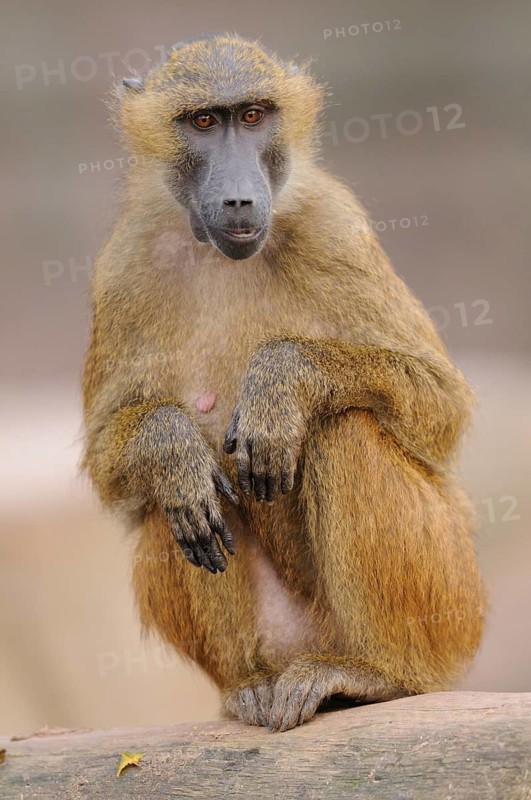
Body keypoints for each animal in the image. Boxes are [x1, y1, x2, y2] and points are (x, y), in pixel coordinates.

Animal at [82, 33, 486, 733]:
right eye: (203, 121)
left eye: (252, 116)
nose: (240, 199)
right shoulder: (124, 265)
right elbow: (116, 461)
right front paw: (170, 447)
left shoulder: (334, 225)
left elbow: (439, 404)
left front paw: (281, 383)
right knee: (175, 502)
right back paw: (251, 683)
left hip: (451, 601)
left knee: (344, 428)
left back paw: (376, 675)